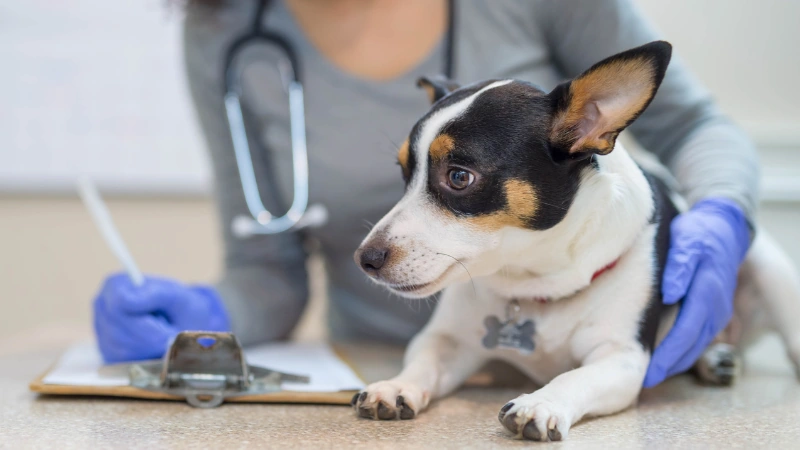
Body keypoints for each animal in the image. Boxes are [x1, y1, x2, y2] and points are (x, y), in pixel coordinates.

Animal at [350, 40, 800, 442]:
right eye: (404, 173)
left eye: (459, 176)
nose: (365, 259)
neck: (535, 281)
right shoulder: (449, 341)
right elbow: (424, 361)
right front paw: (397, 384)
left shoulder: (621, 359)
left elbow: (575, 377)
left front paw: (541, 402)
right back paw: (713, 357)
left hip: (767, 266)